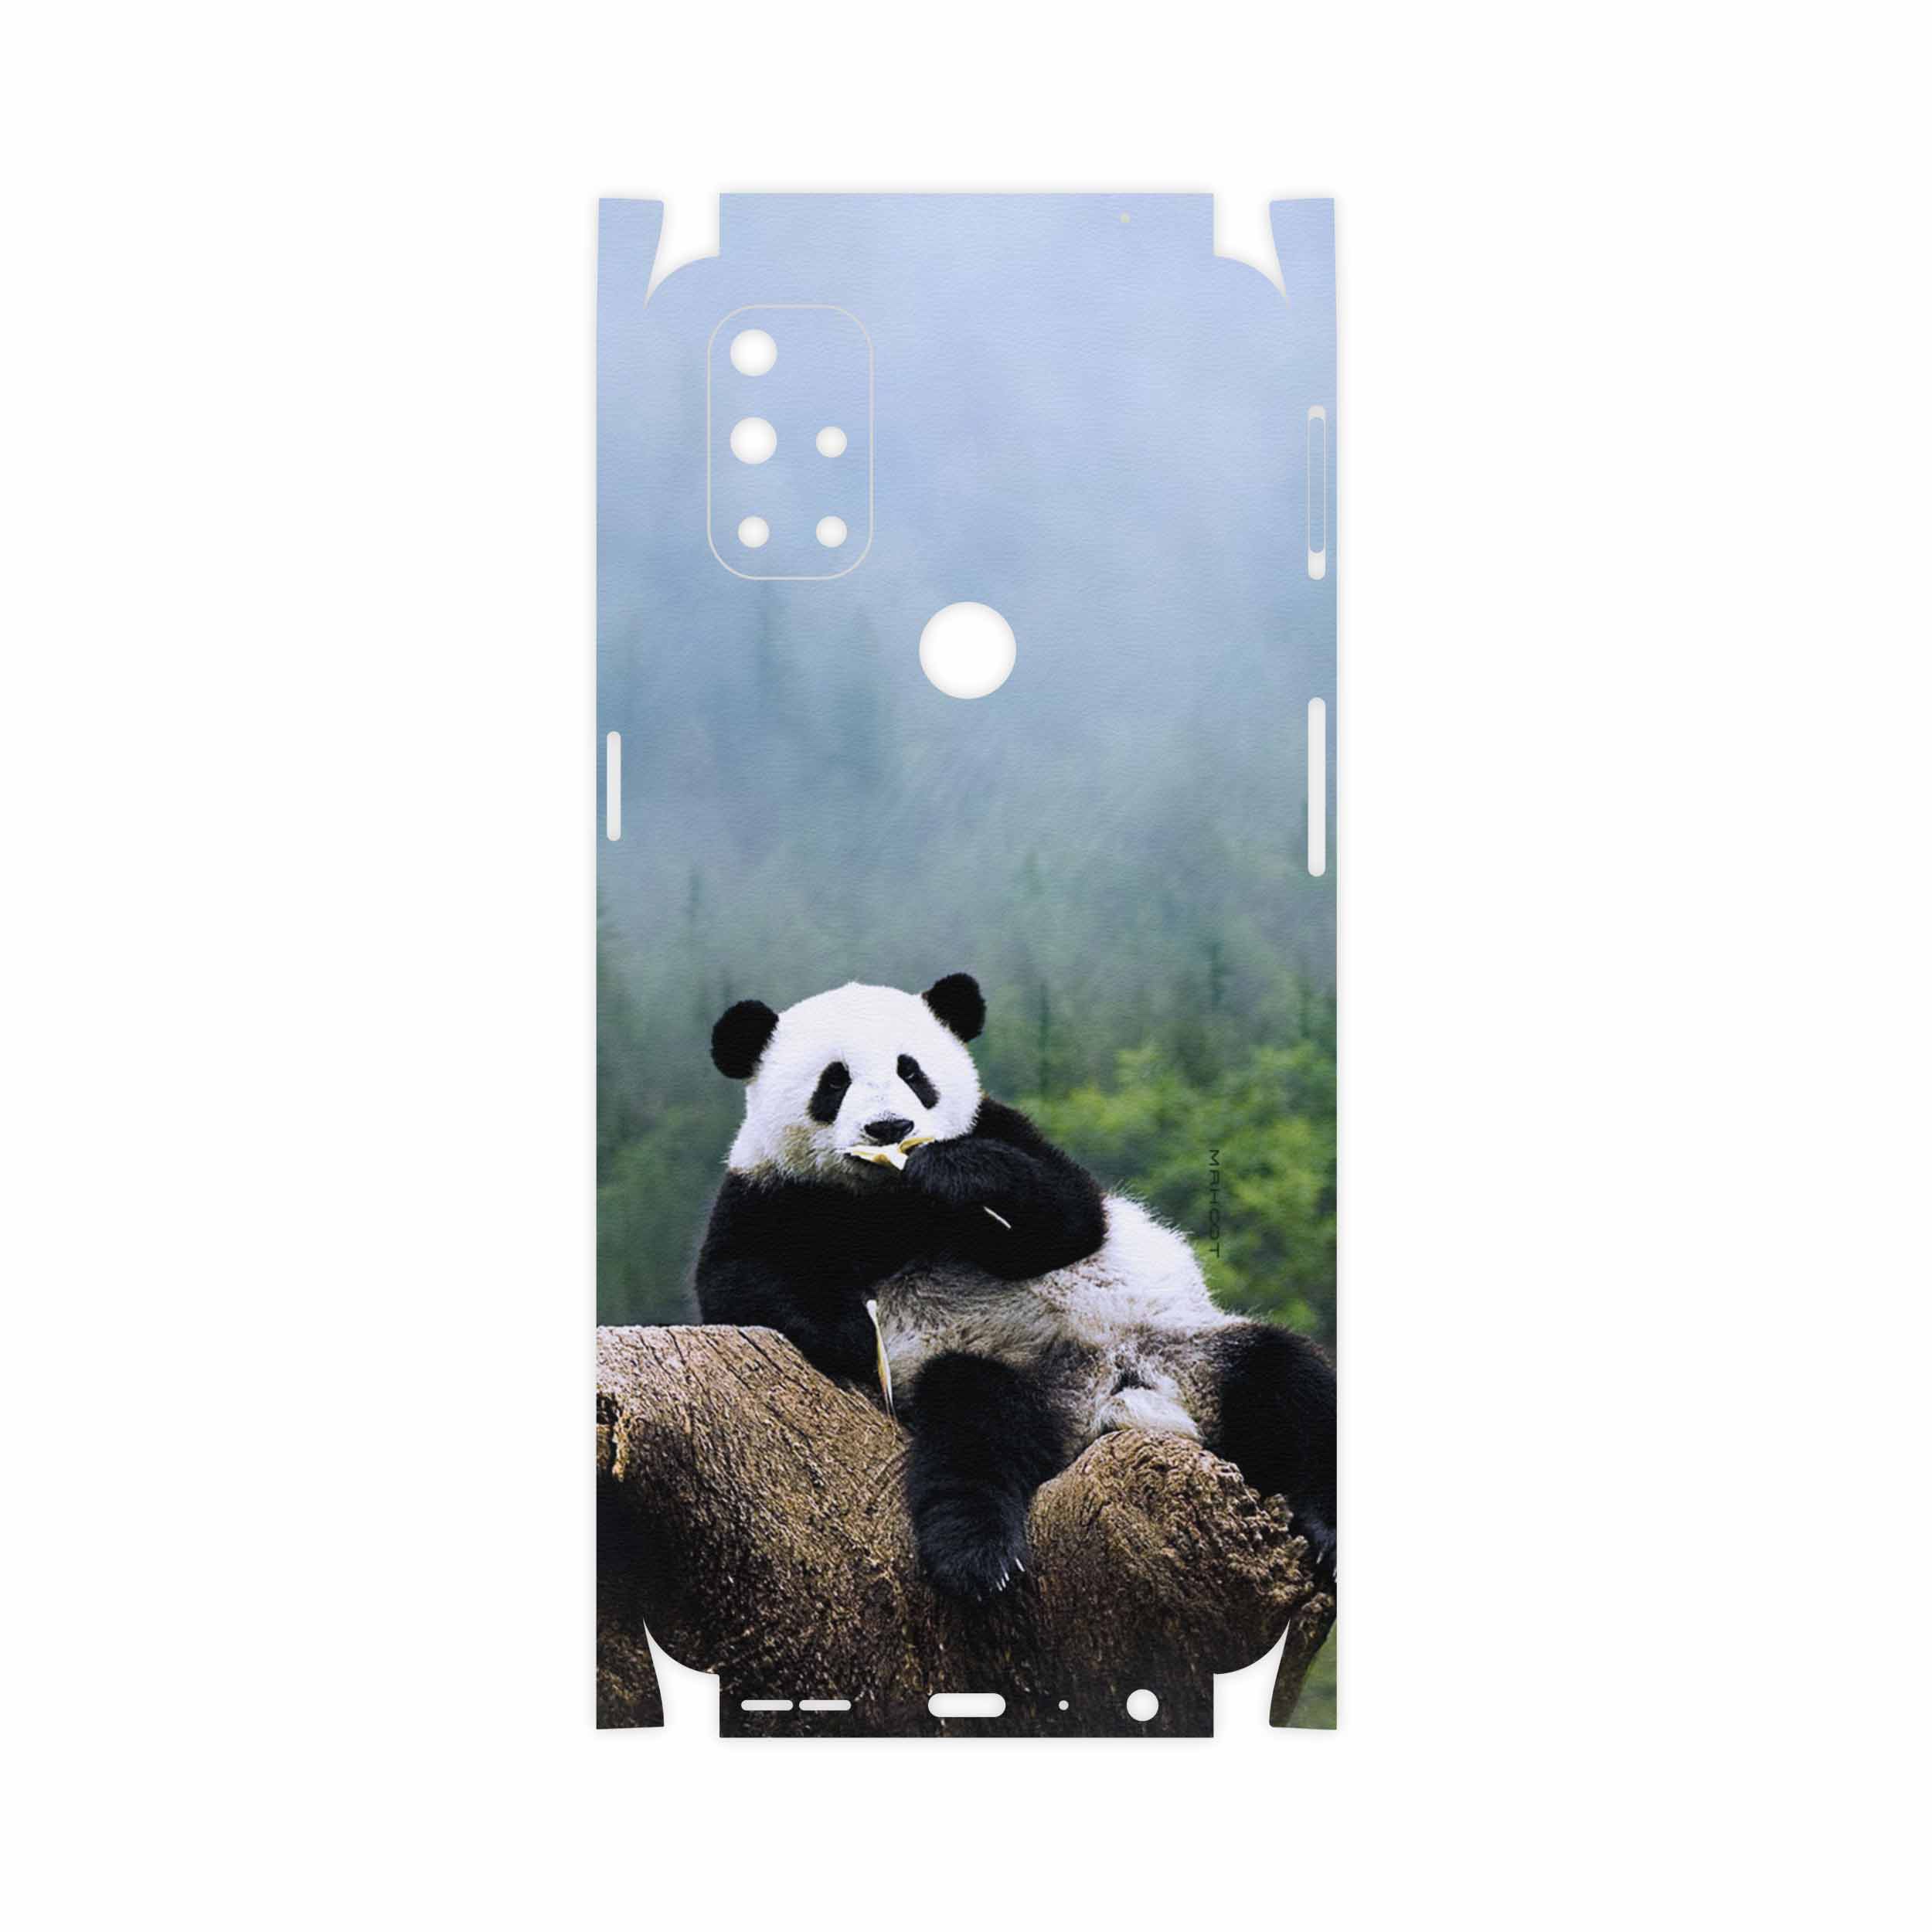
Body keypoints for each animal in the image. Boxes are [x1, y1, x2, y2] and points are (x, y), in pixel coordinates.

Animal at [695, 973, 1336, 1599]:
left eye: (912, 1072)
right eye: (834, 1082)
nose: (890, 1127)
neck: (888, 1199)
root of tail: (1108, 1398)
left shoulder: (1002, 1128)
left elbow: (1070, 1217)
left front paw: (955, 1174)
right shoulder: (771, 1191)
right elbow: (738, 1280)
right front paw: (855, 1332)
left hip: (1185, 1348)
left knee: (1291, 1382)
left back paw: (1325, 1530)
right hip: (1007, 1374)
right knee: (974, 1430)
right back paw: (979, 1557)